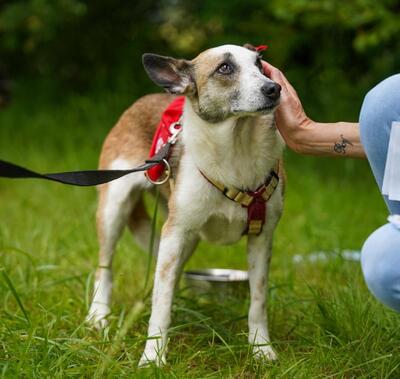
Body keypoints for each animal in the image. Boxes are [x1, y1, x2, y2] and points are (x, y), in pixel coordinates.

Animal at [86, 43, 286, 366]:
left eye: (259, 65)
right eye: (225, 68)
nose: (274, 88)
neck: (236, 151)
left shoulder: (262, 236)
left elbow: (258, 299)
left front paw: (261, 348)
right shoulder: (174, 234)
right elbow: (160, 303)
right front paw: (153, 357)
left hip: (186, 238)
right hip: (115, 209)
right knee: (105, 267)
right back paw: (98, 314)